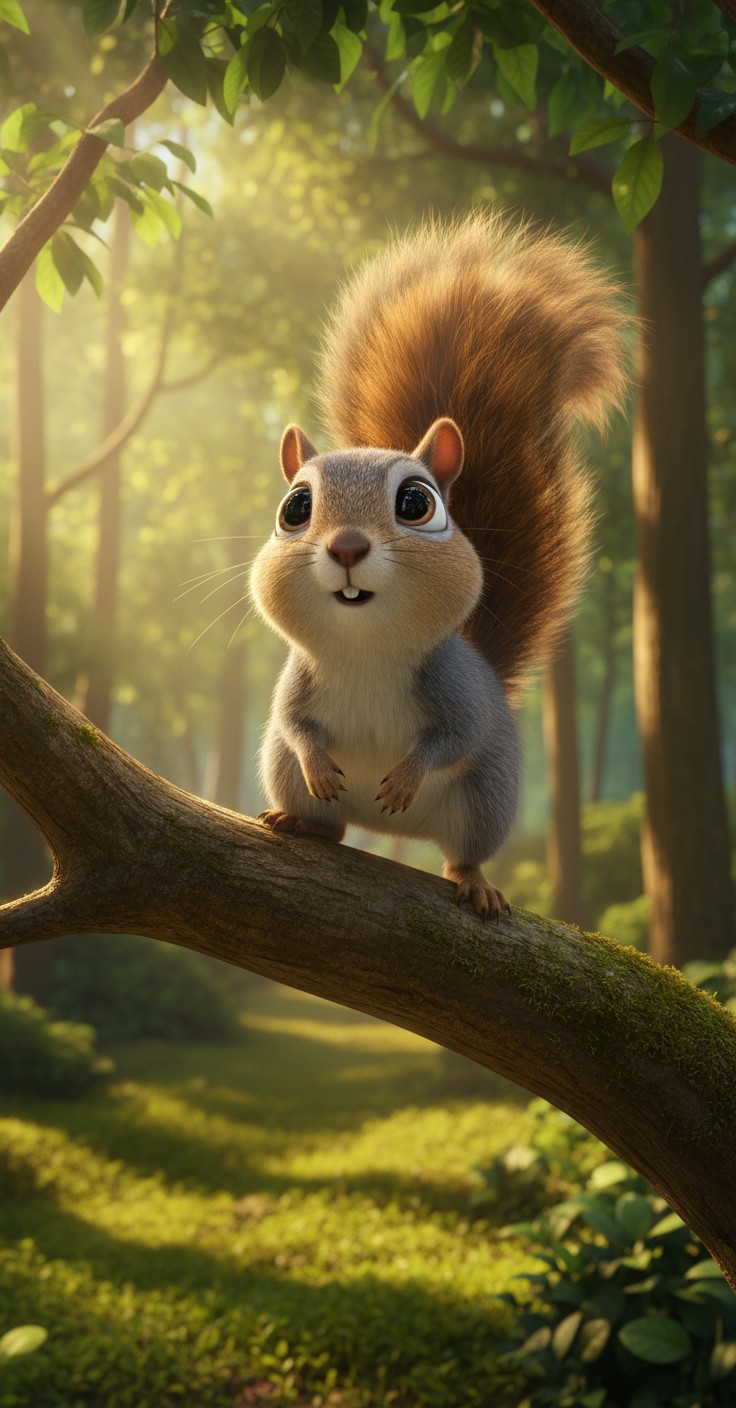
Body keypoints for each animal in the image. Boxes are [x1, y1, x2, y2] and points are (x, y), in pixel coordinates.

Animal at [250, 212, 627, 920]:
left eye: (415, 503)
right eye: (295, 507)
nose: (347, 547)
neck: (366, 648)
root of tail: (386, 833)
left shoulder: (456, 690)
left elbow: (454, 738)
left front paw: (405, 776)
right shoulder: (297, 680)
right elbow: (294, 723)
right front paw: (319, 759)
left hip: (484, 801)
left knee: (464, 851)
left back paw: (474, 881)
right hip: (282, 772)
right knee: (327, 818)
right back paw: (302, 821)